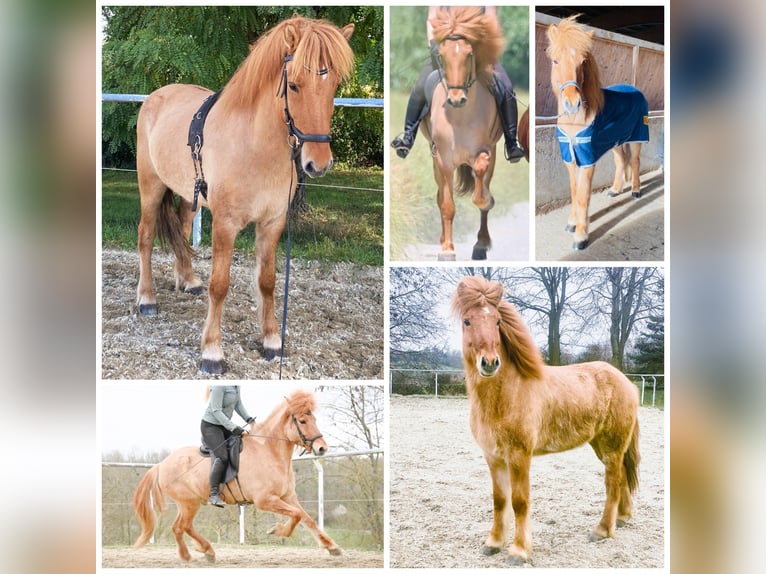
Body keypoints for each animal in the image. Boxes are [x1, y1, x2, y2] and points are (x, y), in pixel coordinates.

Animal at [132, 389, 340, 562]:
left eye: (314, 420)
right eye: (303, 421)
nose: (322, 448)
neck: (270, 451)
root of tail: (161, 465)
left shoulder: (288, 496)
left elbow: (306, 518)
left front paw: (332, 547)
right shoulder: (265, 500)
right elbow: (296, 516)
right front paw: (276, 530)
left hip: (188, 503)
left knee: (180, 527)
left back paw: (199, 552)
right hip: (189, 502)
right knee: (182, 526)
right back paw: (200, 552)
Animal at [134, 16, 355, 373]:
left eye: (334, 85)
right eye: (294, 85)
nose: (318, 164)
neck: (254, 145)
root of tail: (157, 95)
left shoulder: (272, 223)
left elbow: (267, 281)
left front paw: (271, 342)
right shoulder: (225, 224)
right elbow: (220, 285)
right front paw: (212, 352)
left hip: (189, 195)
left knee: (182, 228)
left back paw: (188, 280)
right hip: (150, 186)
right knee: (145, 236)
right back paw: (146, 299)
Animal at [420, 7, 505, 261]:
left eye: (469, 54)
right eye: (442, 55)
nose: (456, 99)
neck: (459, 117)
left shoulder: (486, 151)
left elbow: (482, 195)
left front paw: (486, 201)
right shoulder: (443, 160)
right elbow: (447, 204)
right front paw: (447, 248)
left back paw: (480, 245)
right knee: (440, 196)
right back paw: (443, 241)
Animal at [451, 275, 640, 565]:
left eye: (497, 321)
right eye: (467, 321)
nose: (490, 363)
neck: (506, 394)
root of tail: (626, 382)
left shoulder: (519, 455)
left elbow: (519, 501)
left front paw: (519, 551)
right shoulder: (493, 457)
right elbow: (499, 500)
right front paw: (493, 543)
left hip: (613, 446)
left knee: (612, 482)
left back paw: (602, 530)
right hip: (601, 445)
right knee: (620, 480)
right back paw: (622, 519)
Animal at [545, 15, 649, 250]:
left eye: (583, 62)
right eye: (555, 61)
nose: (572, 103)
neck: (575, 121)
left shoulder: (587, 158)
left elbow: (583, 195)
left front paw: (581, 237)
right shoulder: (570, 156)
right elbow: (574, 191)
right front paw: (572, 224)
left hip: (638, 136)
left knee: (635, 161)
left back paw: (635, 191)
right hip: (616, 141)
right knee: (621, 161)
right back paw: (615, 190)